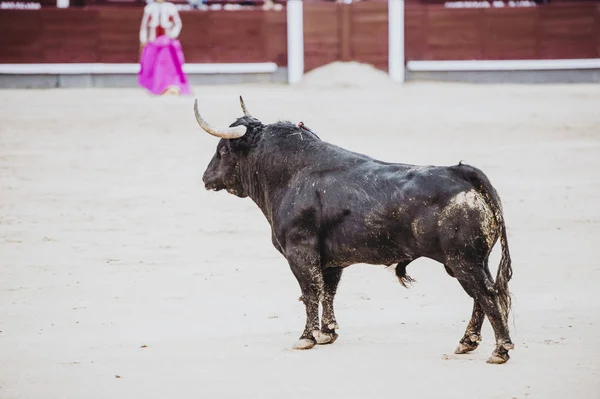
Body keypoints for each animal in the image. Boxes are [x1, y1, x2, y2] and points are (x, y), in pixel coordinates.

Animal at [197, 97, 516, 366]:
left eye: (222, 150)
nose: (205, 178)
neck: (289, 174)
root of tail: (461, 172)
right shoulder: (331, 260)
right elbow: (328, 291)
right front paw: (327, 333)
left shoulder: (299, 252)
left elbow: (310, 291)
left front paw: (306, 337)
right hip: (473, 261)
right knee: (482, 296)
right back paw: (467, 342)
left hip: (463, 261)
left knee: (486, 295)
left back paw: (500, 350)